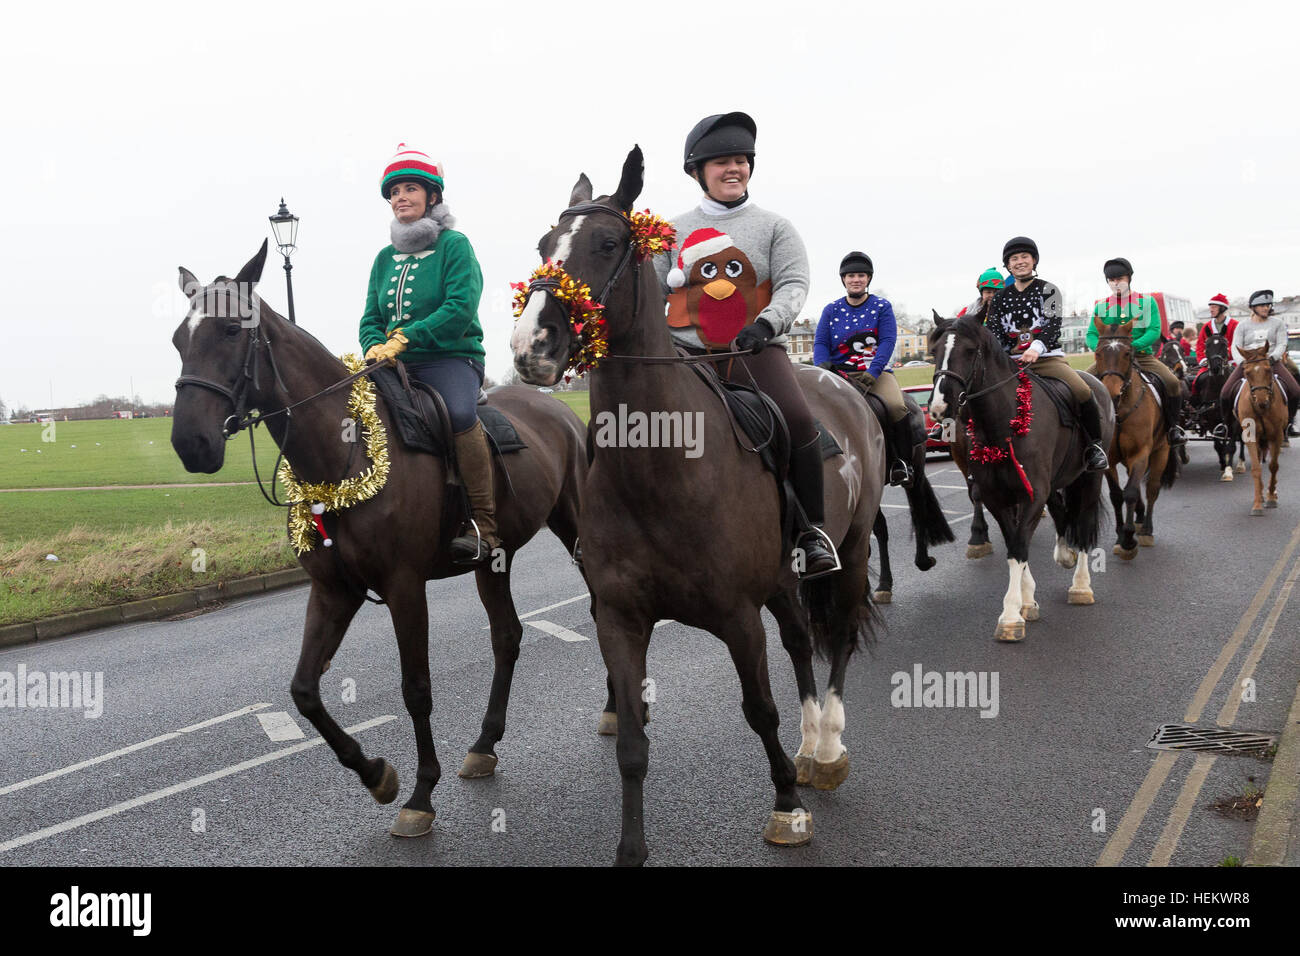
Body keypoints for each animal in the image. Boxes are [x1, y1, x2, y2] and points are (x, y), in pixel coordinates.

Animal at [170, 244, 587, 837]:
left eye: (230, 330)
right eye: (178, 340)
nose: (191, 443)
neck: (343, 452)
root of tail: (554, 406)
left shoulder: (405, 587)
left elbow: (416, 689)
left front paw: (421, 793)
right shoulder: (333, 591)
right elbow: (304, 691)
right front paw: (375, 774)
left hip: (576, 527)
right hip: (493, 560)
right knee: (507, 637)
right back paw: (484, 744)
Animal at [506, 147, 883, 868]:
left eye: (606, 244)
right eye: (543, 245)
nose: (531, 346)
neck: (658, 472)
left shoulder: (736, 616)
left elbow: (760, 710)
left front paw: (787, 808)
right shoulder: (621, 620)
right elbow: (631, 743)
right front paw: (630, 849)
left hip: (846, 557)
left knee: (839, 641)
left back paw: (825, 749)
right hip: (782, 581)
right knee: (801, 642)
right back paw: (808, 745)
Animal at [930, 319, 1112, 642]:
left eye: (970, 350)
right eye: (935, 351)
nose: (940, 407)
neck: (1003, 423)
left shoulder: (1032, 494)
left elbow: (1018, 547)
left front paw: (1011, 615)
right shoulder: (997, 497)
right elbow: (1015, 542)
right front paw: (1027, 602)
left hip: (1090, 477)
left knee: (1082, 522)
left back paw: (1080, 585)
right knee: (1061, 512)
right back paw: (1064, 553)